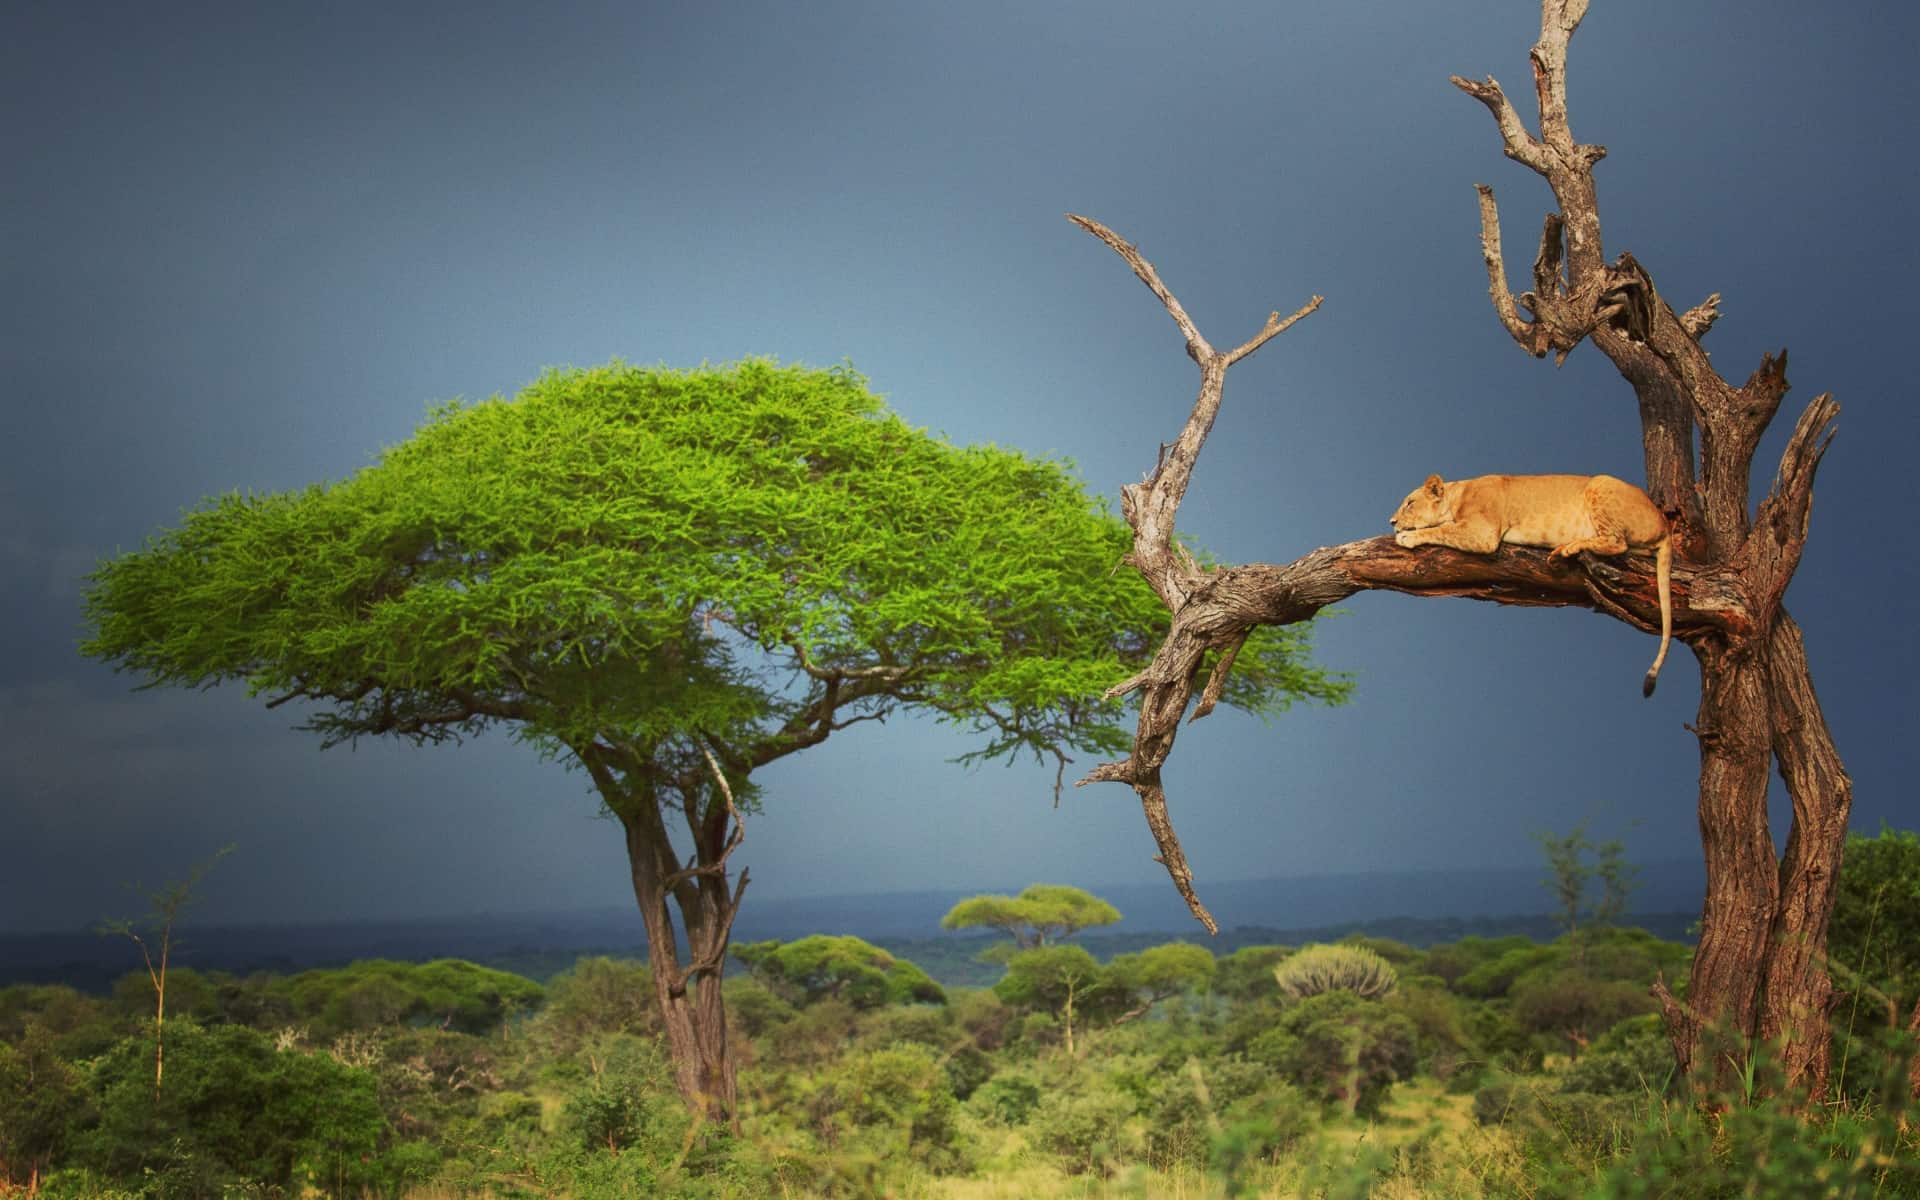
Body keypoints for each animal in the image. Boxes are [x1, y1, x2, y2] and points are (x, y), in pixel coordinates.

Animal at [1390, 473, 1673, 696]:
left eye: (1409, 503)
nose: (1391, 523)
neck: (1456, 496)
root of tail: (1665, 526)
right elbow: (1446, 528)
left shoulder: (1483, 533)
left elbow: (1443, 530)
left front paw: (1408, 537)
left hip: (1601, 484)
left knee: (1616, 541)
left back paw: (1568, 548)